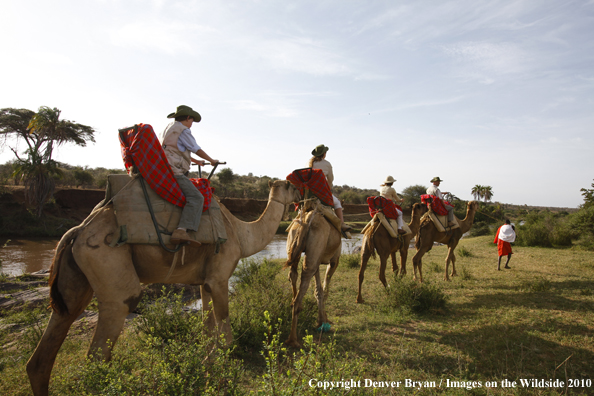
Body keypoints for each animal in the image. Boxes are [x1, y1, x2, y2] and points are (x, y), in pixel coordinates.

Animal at [25, 179, 298, 396]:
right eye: (289, 185)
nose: (300, 196)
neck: (242, 234)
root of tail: (78, 229)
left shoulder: (206, 282)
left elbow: (208, 329)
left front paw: (207, 369)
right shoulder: (220, 278)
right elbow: (226, 337)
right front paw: (223, 374)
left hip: (75, 276)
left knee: (56, 331)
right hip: (105, 257)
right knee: (107, 334)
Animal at [284, 203, 340, 348]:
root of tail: (306, 220)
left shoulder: (318, 258)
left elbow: (318, 289)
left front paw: (321, 320)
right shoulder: (334, 259)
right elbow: (324, 288)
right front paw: (324, 320)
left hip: (294, 242)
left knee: (294, 273)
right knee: (305, 276)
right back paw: (293, 340)